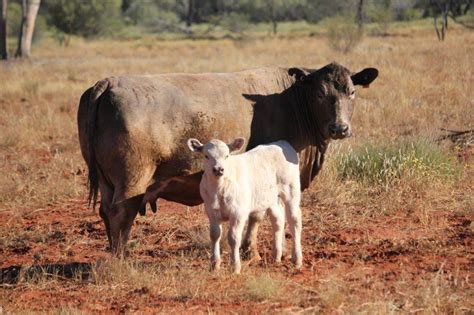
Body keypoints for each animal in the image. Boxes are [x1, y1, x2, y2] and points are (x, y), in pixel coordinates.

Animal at [77, 62, 378, 256]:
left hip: (106, 182)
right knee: (120, 214)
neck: (291, 101)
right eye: (319, 93)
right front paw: (251, 251)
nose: (339, 128)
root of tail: (109, 82)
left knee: (105, 212)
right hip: (133, 180)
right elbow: (257, 215)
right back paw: (121, 259)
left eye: (351, 92)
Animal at [187, 138, 302, 274]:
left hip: (291, 190)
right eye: (206, 156)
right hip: (271, 197)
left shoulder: (238, 212)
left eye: (227, 155)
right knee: (277, 220)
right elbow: (214, 235)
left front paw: (235, 267)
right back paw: (276, 256)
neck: (219, 189)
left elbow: (233, 238)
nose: (218, 169)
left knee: (294, 221)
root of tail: (282, 143)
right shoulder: (211, 211)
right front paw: (214, 265)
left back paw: (297, 259)